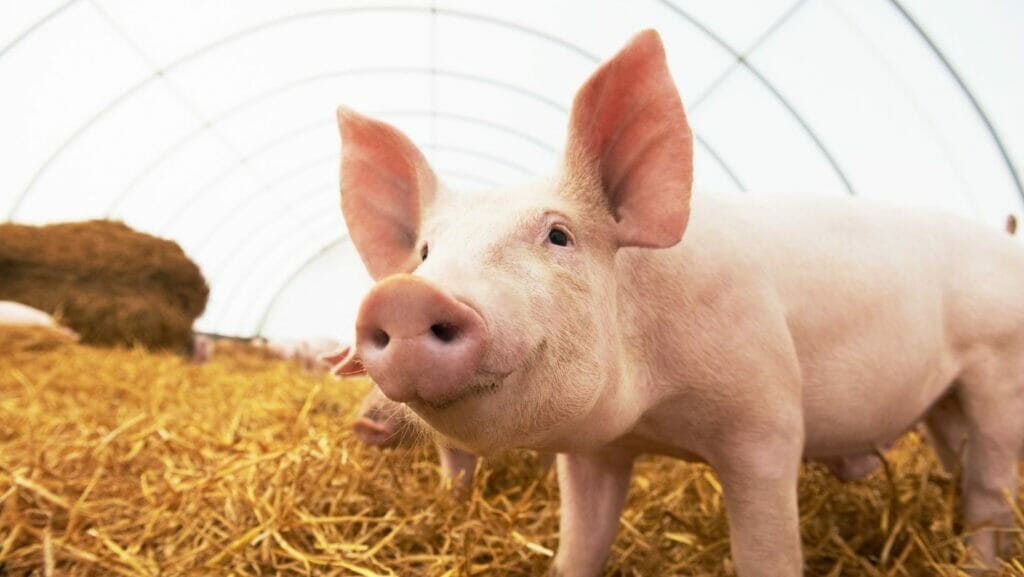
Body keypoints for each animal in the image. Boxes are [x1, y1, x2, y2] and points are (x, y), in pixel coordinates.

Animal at [330, 30, 1024, 576]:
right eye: (425, 251)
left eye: (559, 235)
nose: (404, 295)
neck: (657, 413)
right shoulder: (592, 451)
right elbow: (578, 551)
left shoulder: (767, 419)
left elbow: (768, 555)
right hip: (945, 402)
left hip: (998, 370)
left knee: (989, 491)